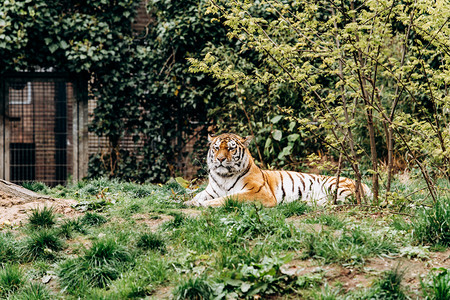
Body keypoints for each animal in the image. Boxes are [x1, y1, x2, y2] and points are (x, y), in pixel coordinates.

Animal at [185, 132, 370, 207]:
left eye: (231, 148)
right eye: (216, 148)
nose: (220, 159)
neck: (223, 176)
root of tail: (366, 185)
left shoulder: (258, 192)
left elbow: (229, 198)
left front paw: (204, 204)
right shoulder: (210, 191)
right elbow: (197, 196)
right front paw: (189, 202)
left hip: (336, 187)